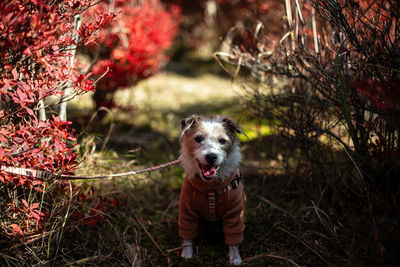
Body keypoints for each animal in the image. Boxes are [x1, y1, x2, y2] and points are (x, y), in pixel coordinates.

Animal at [177, 115, 245, 266]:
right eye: (199, 138)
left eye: (222, 141)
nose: (211, 156)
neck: (210, 187)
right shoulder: (187, 211)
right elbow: (187, 233)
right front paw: (187, 252)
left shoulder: (235, 213)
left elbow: (234, 237)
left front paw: (235, 257)